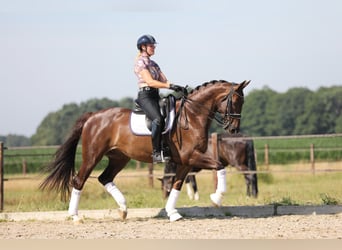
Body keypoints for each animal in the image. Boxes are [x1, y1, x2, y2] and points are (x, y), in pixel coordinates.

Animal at [40, 79, 250, 222]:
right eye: (235, 101)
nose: (233, 129)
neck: (192, 116)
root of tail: (93, 116)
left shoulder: (185, 162)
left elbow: (176, 185)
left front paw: (173, 213)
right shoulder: (192, 157)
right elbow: (220, 166)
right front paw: (217, 198)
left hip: (119, 158)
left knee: (105, 178)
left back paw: (123, 209)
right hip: (92, 156)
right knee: (79, 180)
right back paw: (75, 216)